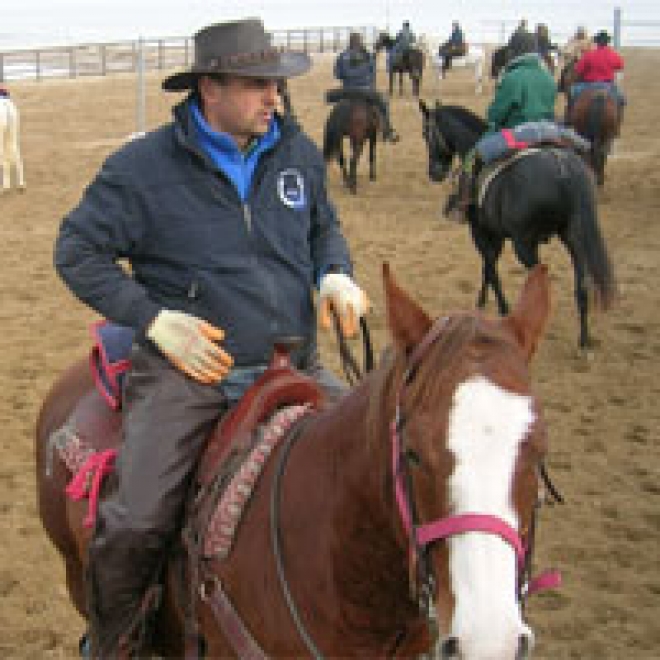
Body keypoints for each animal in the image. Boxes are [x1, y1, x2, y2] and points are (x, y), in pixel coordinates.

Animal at [420, 100, 616, 348]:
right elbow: (488, 266)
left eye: (426, 134)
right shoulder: (495, 233)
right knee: (582, 284)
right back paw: (583, 339)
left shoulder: (480, 231)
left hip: (524, 245)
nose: (433, 173)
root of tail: (563, 168)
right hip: (574, 237)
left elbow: (490, 267)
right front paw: (482, 300)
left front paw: (501, 309)